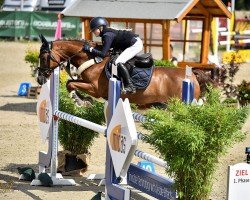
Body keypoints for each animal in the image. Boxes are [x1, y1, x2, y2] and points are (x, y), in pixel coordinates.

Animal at [37, 34, 201, 106]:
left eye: (43, 57)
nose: (39, 79)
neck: (92, 59)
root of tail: (193, 77)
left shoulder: (95, 88)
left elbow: (70, 84)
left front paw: (79, 101)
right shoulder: (86, 82)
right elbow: (70, 82)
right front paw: (84, 100)